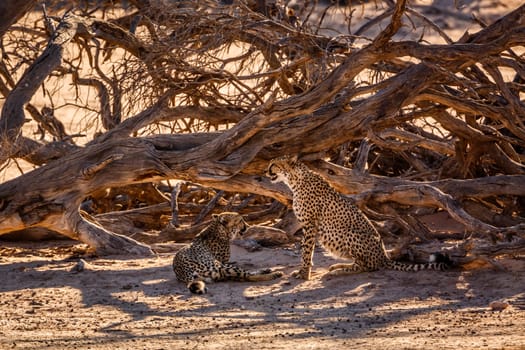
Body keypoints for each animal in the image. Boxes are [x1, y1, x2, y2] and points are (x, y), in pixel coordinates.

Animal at [266, 154, 450, 280]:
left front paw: (304, 274)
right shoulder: (307, 224)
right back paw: (339, 265)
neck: (294, 180)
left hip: (345, 233)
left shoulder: (310, 224)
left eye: (273, 164)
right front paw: (304, 271)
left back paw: (340, 270)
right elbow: (306, 249)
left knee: (366, 266)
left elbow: (306, 250)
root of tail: (384, 256)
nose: (265, 171)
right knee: (360, 263)